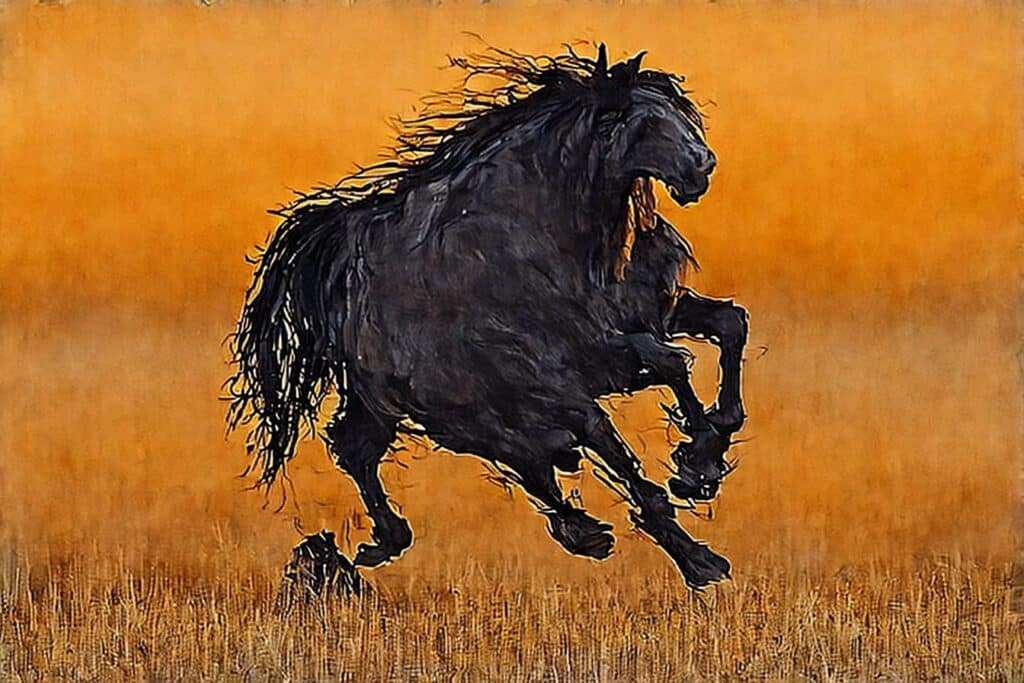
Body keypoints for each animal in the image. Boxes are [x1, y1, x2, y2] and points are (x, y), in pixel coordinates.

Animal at [226, 45, 748, 590]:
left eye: (677, 110)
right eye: (643, 121)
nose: (702, 166)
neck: (555, 233)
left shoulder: (649, 315)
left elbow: (730, 325)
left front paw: (706, 451)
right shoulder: (574, 360)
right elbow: (670, 365)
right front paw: (696, 466)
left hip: (437, 409)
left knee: (390, 450)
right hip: (476, 405)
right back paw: (687, 556)